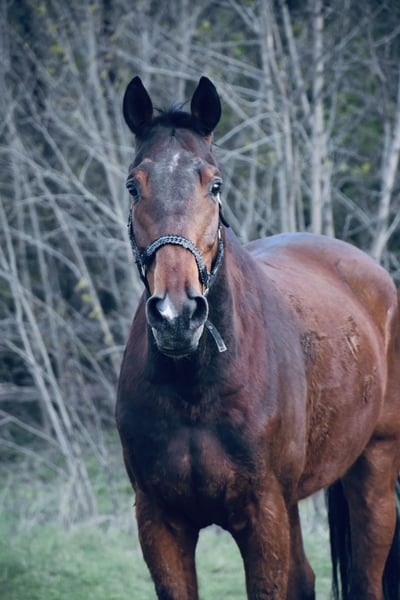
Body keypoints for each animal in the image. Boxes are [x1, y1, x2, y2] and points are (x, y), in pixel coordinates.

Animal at [116, 75, 400, 600]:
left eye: (215, 184)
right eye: (133, 185)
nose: (177, 314)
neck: (196, 388)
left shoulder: (262, 518)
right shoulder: (160, 522)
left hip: (374, 467)